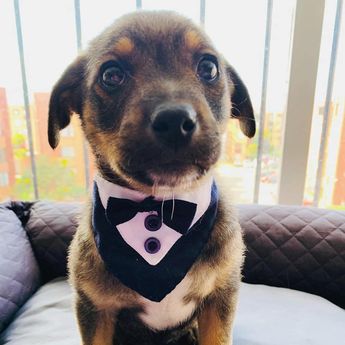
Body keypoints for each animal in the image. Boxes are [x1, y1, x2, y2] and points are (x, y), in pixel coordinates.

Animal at [47, 10, 254, 344]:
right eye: (111, 75)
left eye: (209, 68)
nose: (175, 121)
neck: (160, 204)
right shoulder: (96, 309)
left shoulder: (219, 297)